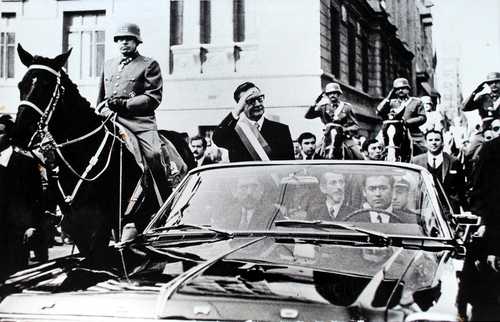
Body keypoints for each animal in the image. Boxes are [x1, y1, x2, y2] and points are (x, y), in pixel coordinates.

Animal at [11, 44, 188, 266]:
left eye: (46, 85)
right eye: (21, 85)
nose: (19, 133)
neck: (82, 152)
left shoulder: (102, 224)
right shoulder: (76, 225)